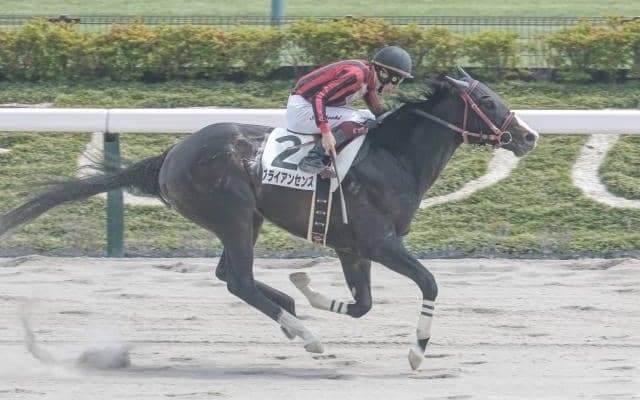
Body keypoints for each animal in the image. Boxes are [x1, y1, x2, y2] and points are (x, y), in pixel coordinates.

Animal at [0, 69, 538, 369]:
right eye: (486, 102)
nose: (529, 136)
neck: (394, 157)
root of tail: (172, 154)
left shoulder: (351, 246)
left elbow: (361, 305)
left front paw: (307, 288)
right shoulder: (379, 241)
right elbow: (429, 283)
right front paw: (416, 352)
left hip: (245, 220)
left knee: (230, 275)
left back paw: (292, 313)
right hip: (234, 214)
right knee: (238, 278)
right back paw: (305, 334)